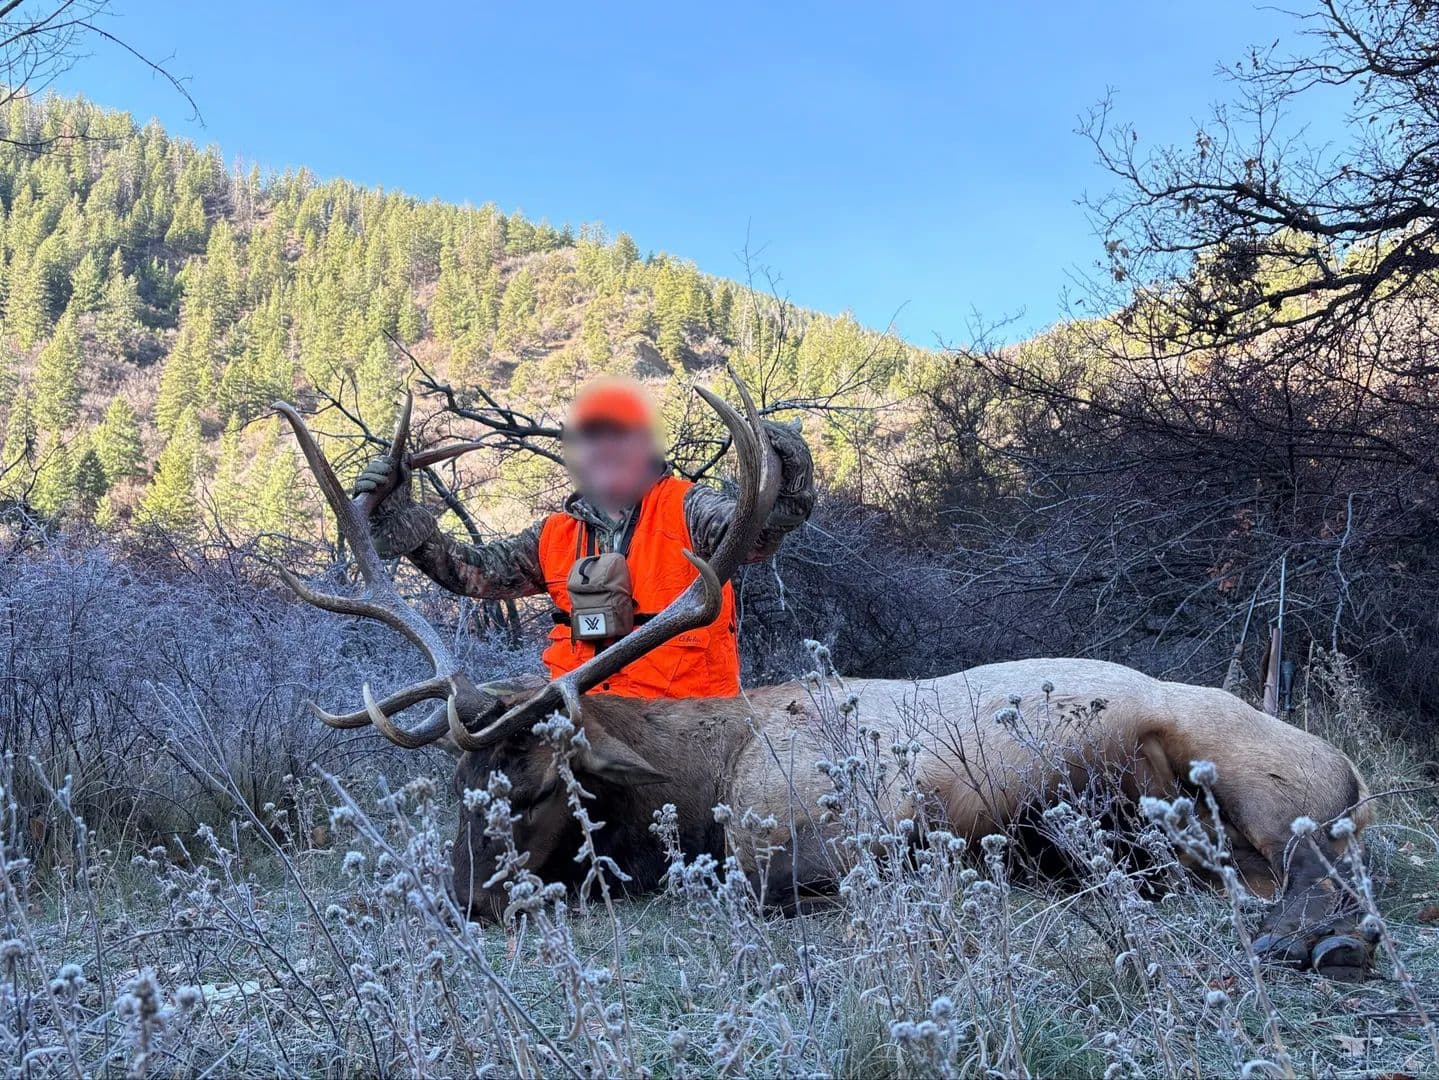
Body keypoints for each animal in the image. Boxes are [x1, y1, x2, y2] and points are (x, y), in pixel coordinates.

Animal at [272, 373, 1378, 981]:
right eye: (452, 785)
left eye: (543, 788)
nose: (465, 903)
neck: (703, 783)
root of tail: (1349, 773)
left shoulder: (831, 838)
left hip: (1250, 773)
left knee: (1315, 870)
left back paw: (1316, 942)